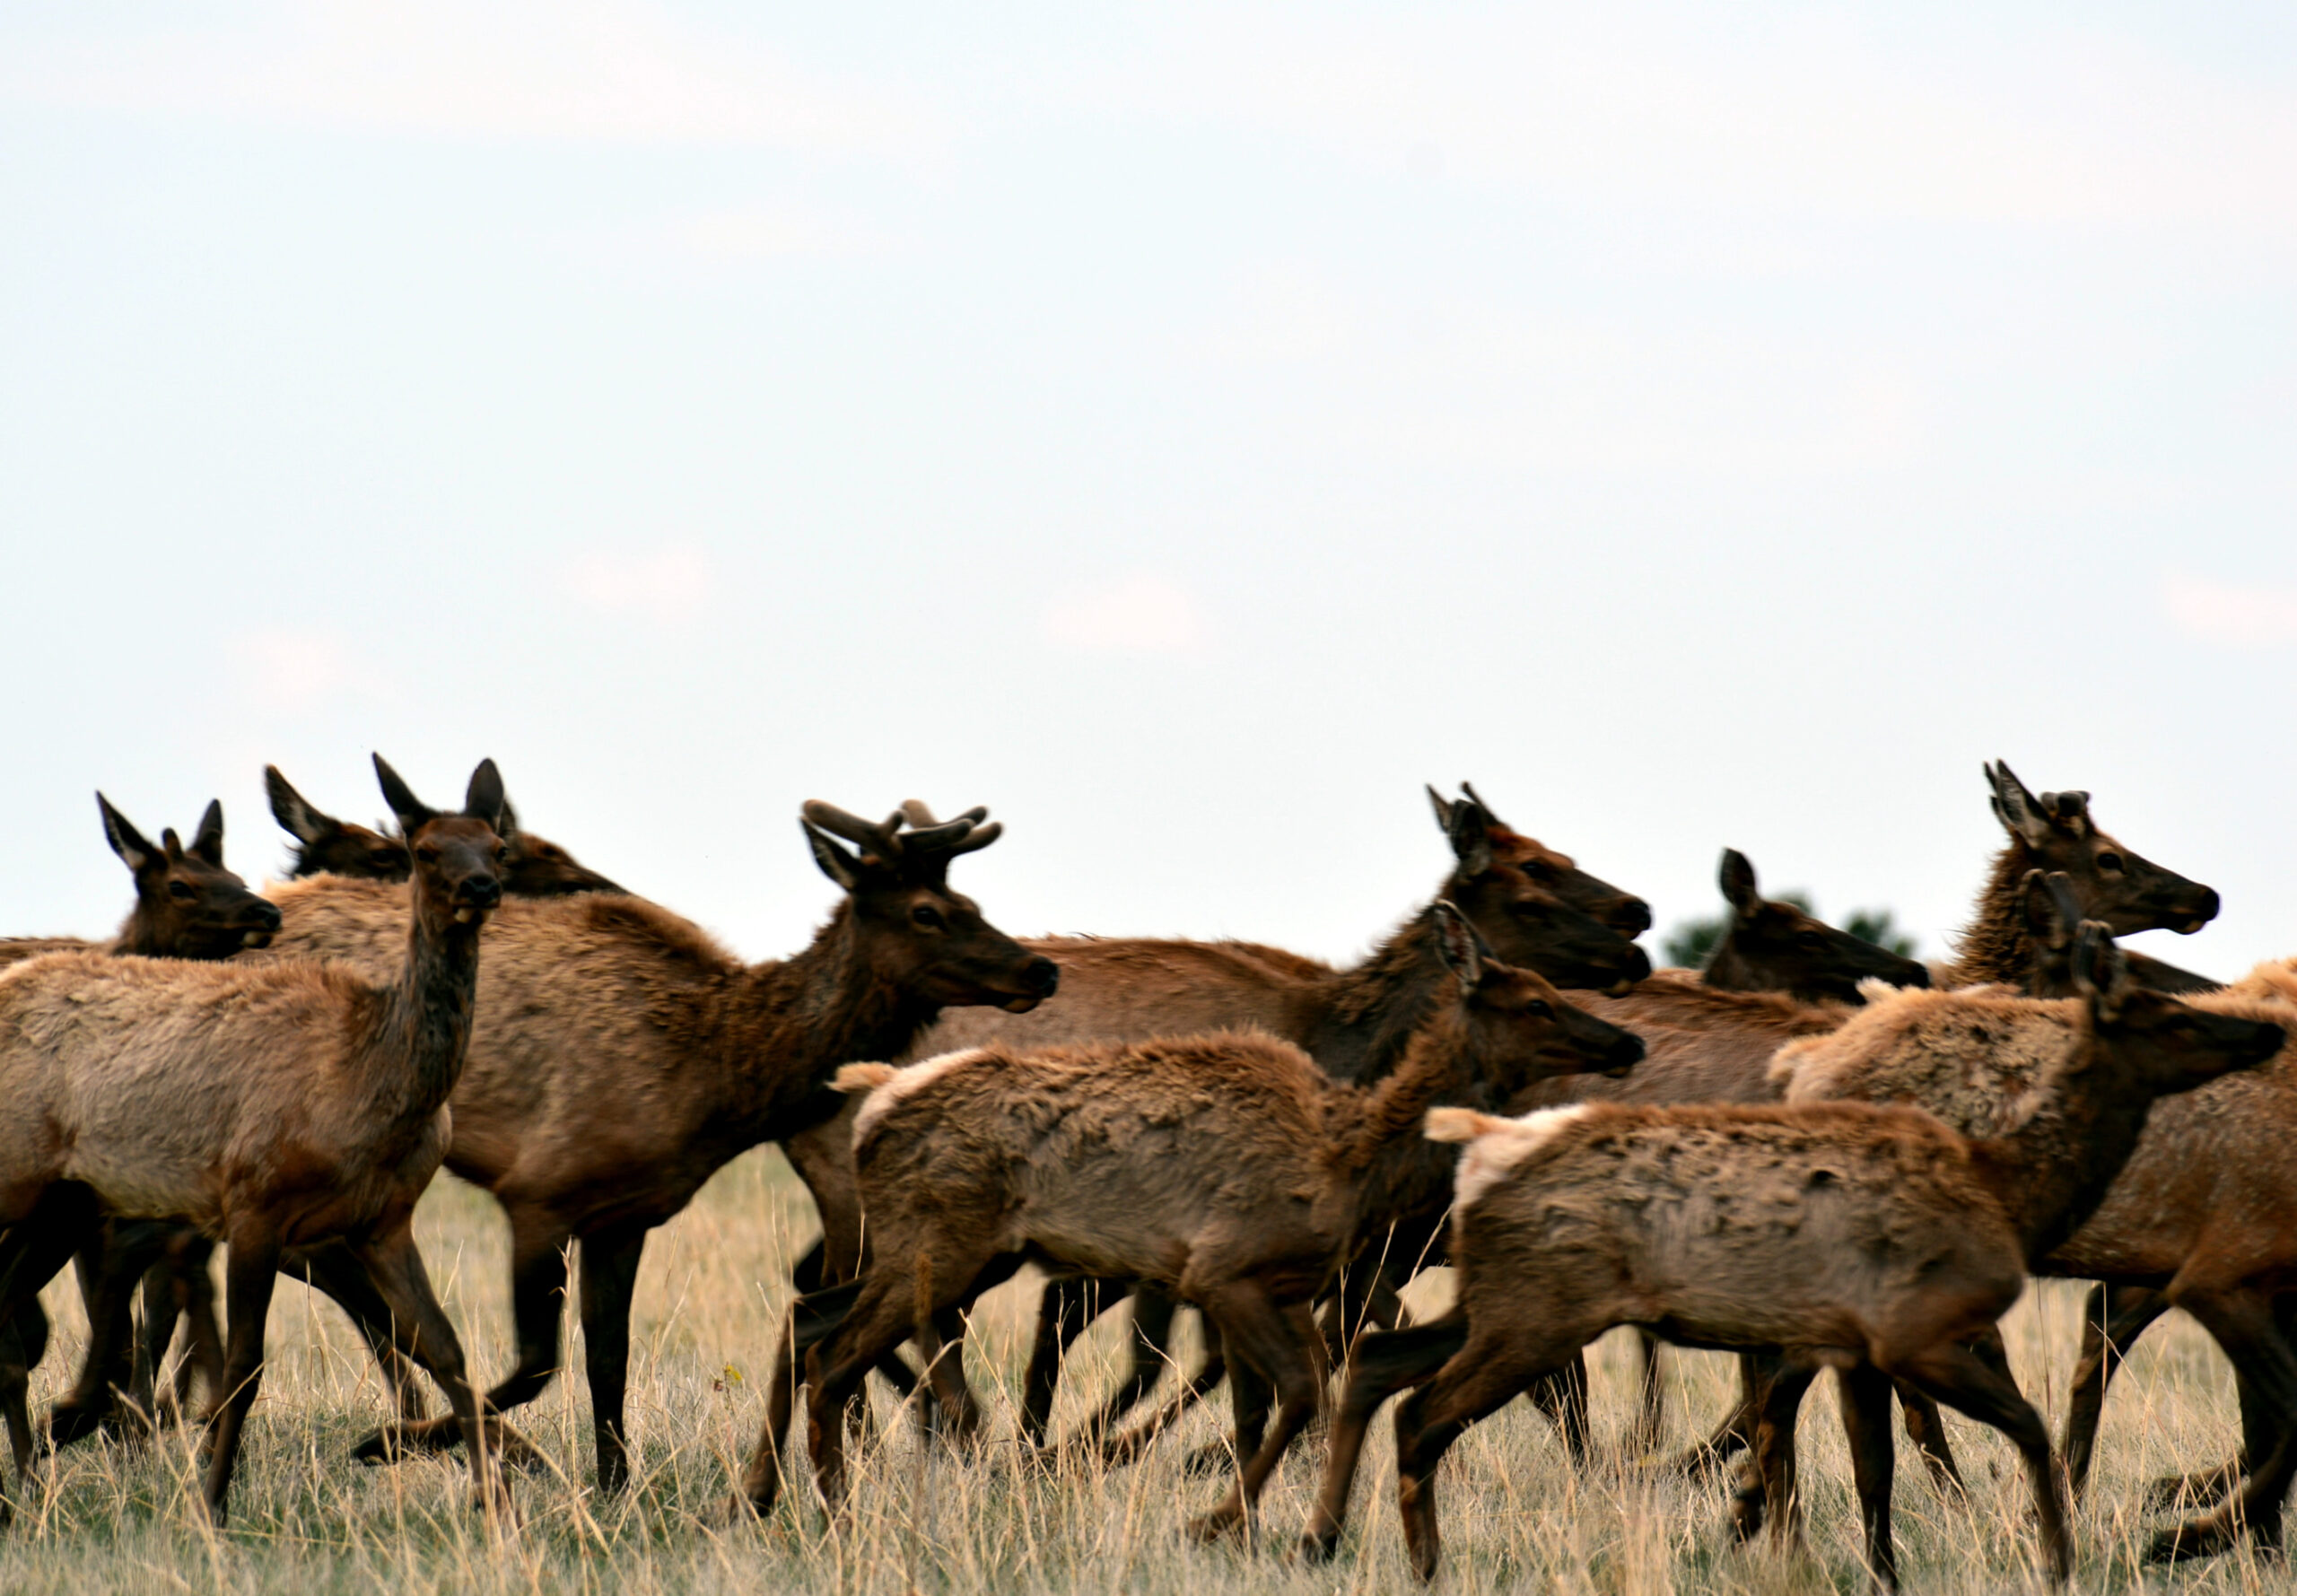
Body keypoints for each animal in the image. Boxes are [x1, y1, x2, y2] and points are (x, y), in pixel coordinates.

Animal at [0, 753, 517, 1533]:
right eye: (422, 850)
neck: (365, 1078)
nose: (481, 886)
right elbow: (244, 1367)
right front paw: (210, 1503)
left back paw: (28, 1483)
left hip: (62, 1202)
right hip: (23, 1181)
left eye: (496, 845)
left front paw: (491, 1500)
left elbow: (446, 1347)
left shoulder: (384, 1219)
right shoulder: (253, 1200)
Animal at [231, 798, 1052, 1496]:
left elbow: (608, 1357)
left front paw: (616, 1483)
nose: (1038, 967)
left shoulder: (624, 1214)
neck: (717, 1080)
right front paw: (393, 1442)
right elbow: (539, 1362)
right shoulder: (540, 1191)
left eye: (972, 905)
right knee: (324, 1262)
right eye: (927, 912)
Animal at [1305, 923, 2287, 1589]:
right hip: (1531, 1315)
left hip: (1497, 1306)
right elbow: (2016, 1430)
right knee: (1425, 1408)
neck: (2014, 1186)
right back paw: (1416, 1557)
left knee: (1383, 1365)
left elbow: (1875, 1460)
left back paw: (1337, 1535)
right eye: (2159, 1015)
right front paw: (2075, 1553)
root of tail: (1476, 1152)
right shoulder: (1910, 1337)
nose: (2262, 1031)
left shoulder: (1853, 1345)